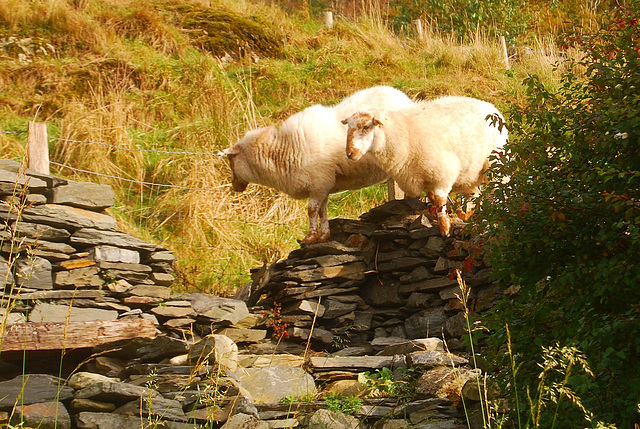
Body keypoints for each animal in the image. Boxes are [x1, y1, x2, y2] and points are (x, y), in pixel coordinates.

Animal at [224, 85, 416, 242]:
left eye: (231, 159)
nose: (235, 186)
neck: (284, 151)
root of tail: (403, 97)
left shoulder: (318, 183)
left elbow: (311, 210)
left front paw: (310, 237)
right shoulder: (323, 186)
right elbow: (323, 211)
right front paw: (323, 235)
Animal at [342, 95, 508, 236]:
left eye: (366, 127)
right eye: (348, 128)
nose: (349, 153)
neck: (403, 134)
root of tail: (491, 107)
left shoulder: (443, 172)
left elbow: (440, 200)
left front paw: (445, 229)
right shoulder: (424, 180)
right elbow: (433, 199)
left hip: (495, 167)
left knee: (501, 192)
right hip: (468, 177)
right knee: (474, 195)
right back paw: (468, 214)